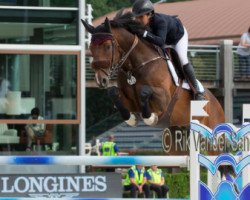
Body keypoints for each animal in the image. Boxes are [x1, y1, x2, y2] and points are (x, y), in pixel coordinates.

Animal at [81, 13, 225, 155]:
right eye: (90, 48)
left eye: (108, 46)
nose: (101, 80)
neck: (135, 67)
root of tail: (218, 104)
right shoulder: (130, 101)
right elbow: (113, 93)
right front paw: (131, 118)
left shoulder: (163, 100)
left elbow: (144, 92)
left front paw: (150, 118)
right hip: (176, 142)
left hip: (213, 141)